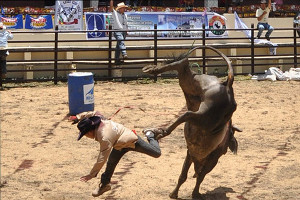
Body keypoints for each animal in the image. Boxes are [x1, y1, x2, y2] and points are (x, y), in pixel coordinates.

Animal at [142, 46, 241, 198]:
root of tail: (227, 84)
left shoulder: (190, 154)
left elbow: (184, 175)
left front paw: (174, 194)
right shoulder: (212, 159)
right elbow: (200, 176)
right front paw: (195, 194)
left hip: (196, 86)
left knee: (183, 68)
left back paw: (152, 69)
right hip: (206, 116)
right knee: (187, 115)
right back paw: (161, 132)